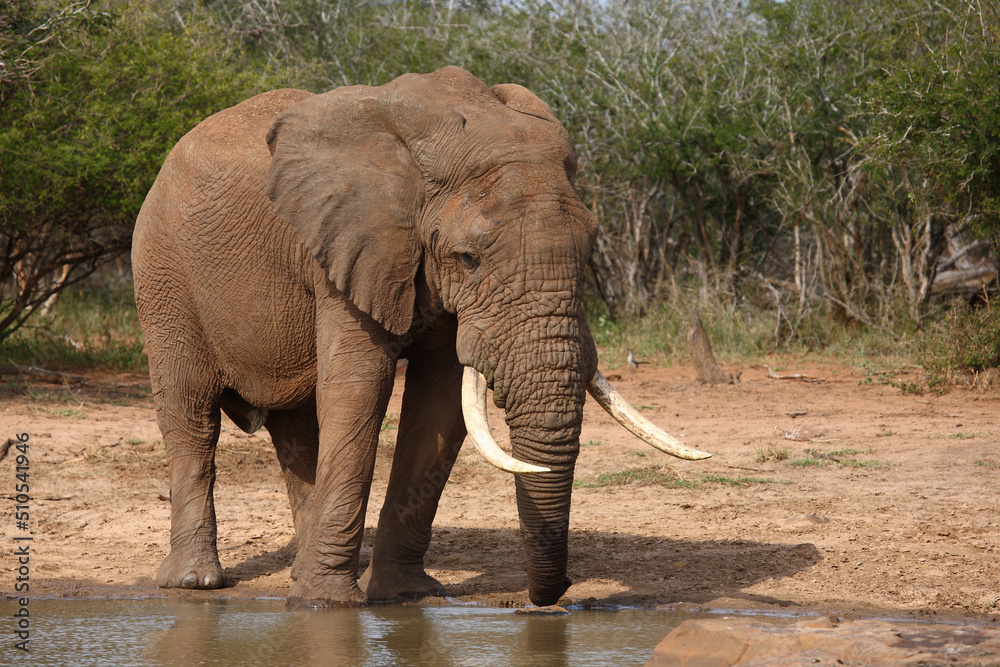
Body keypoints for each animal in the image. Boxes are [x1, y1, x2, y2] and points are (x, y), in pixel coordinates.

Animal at [132, 66, 709, 608]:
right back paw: (196, 582)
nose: (562, 589)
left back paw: (297, 570)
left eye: (590, 249)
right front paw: (328, 606)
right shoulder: (351, 249)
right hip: (162, 273)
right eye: (467, 257)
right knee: (191, 415)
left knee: (294, 430)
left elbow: (440, 403)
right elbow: (360, 387)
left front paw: (405, 596)